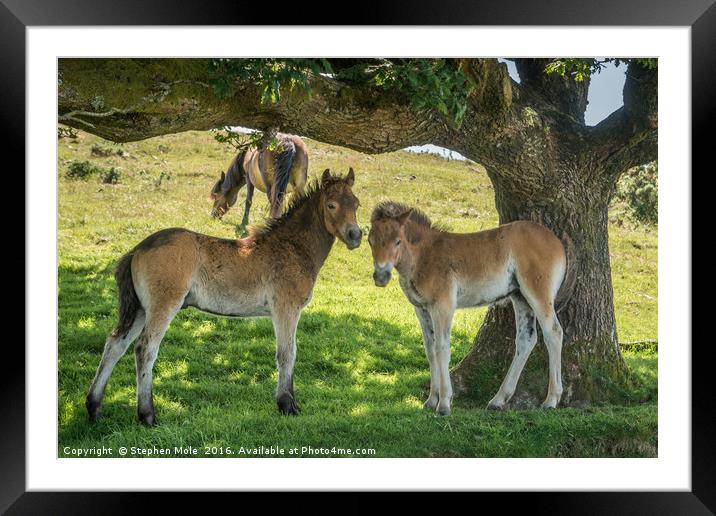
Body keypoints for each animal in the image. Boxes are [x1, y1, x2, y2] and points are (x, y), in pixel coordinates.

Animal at [86, 167, 360, 426]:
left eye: (356, 203)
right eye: (331, 205)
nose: (355, 235)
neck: (291, 248)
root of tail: (138, 248)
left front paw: (290, 402)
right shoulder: (286, 309)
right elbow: (287, 353)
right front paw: (286, 404)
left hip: (140, 309)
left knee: (116, 344)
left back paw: (94, 407)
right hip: (163, 305)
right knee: (145, 348)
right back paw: (147, 415)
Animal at [370, 202, 576, 416]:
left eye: (397, 241)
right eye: (370, 241)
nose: (380, 276)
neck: (424, 255)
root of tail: (557, 241)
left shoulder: (443, 306)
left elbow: (441, 348)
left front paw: (444, 404)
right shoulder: (422, 309)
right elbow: (430, 349)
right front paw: (431, 400)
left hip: (538, 294)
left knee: (553, 333)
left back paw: (551, 400)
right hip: (520, 298)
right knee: (526, 339)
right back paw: (498, 400)